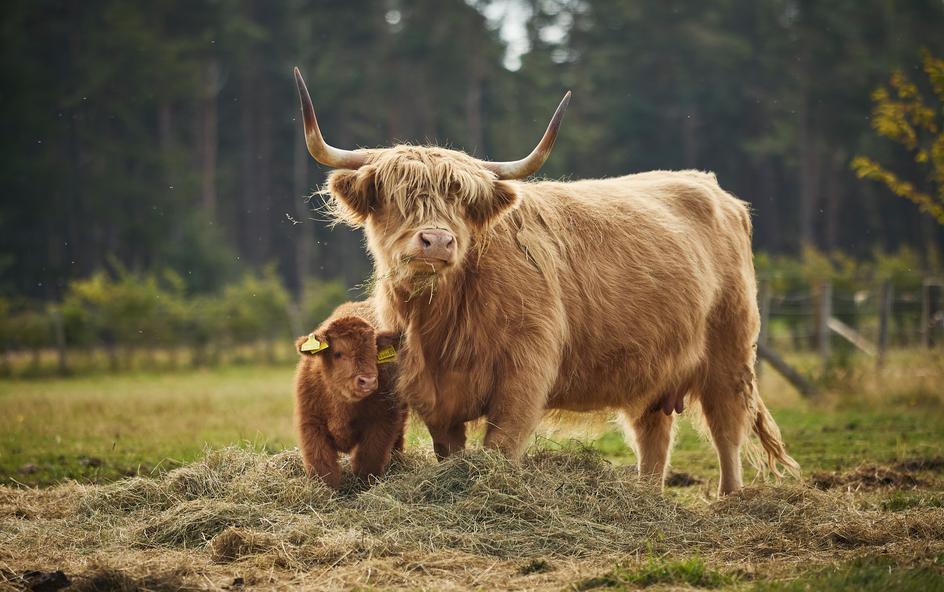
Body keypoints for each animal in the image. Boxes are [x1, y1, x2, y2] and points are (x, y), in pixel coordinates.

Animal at [293, 300, 406, 489]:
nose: (367, 381)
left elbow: (367, 463)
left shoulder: (382, 422)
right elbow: (324, 470)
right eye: (338, 353)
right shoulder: (311, 425)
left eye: (375, 351)